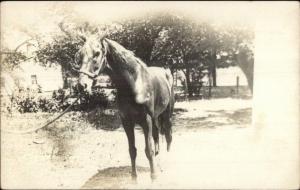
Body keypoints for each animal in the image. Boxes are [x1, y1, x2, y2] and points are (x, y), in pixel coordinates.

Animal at [73, 34, 175, 180]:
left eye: (97, 53)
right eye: (80, 54)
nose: (82, 85)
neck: (135, 85)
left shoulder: (146, 121)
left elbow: (148, 150)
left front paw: (153, 177)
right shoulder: (126, 121)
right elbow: (132, 150)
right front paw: (134, 179)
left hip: (167, 113)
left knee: (168, 135)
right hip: (155, 116)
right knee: (156, 134)